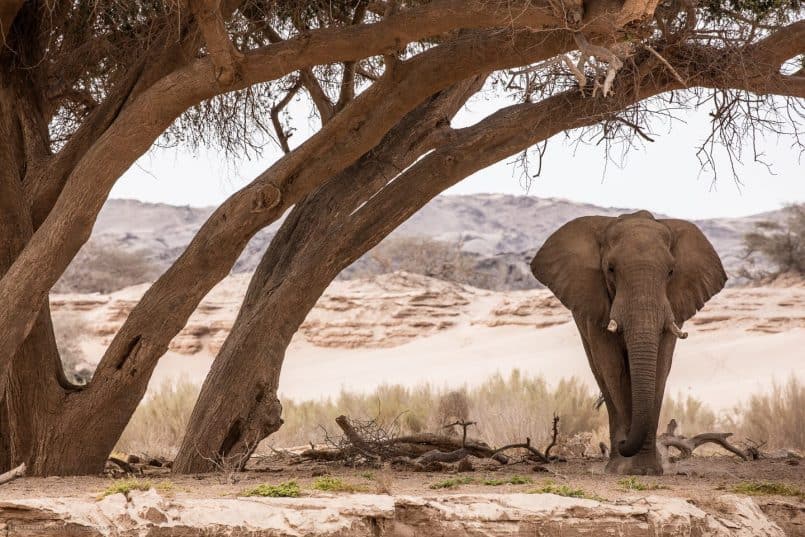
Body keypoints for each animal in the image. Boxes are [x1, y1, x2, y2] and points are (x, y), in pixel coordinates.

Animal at [532, 209, 724, 474]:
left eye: (671, 272)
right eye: (611, 269)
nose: (623, 443)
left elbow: (661, 365)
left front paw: (647, 470)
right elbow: (613, 367)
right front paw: (626, 469)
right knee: (600, 372)